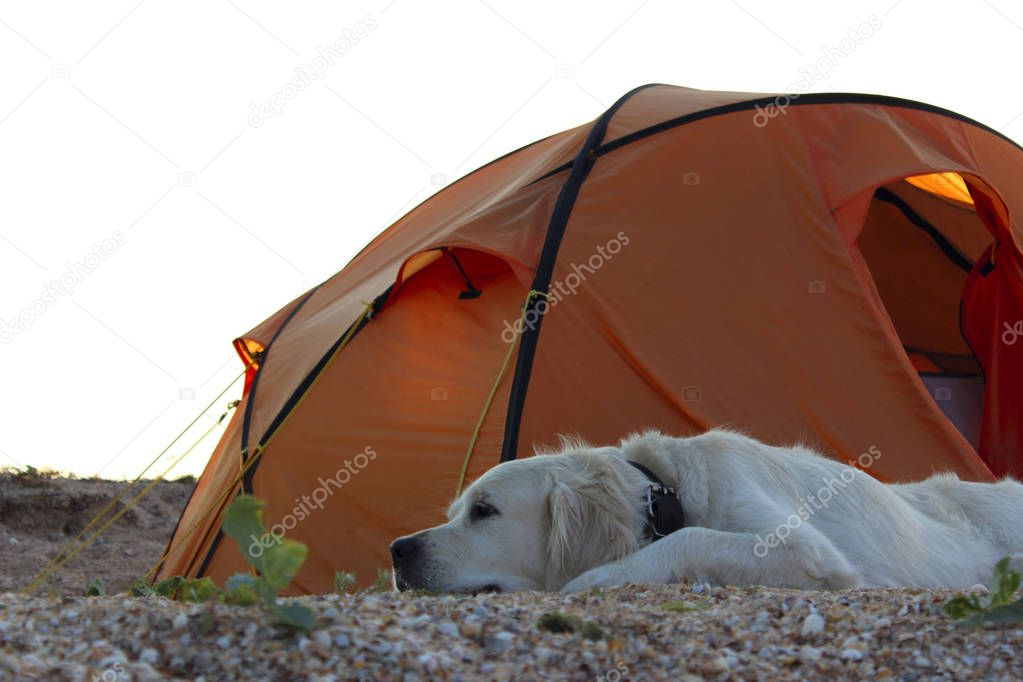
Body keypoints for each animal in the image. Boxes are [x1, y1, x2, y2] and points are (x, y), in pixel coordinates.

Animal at [390, 431, 1023, 593]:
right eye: (457, 510)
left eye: (484, 511)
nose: (397, 550)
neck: (666, 492)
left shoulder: (808, 550)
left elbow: (689, 538)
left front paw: (594, 579)